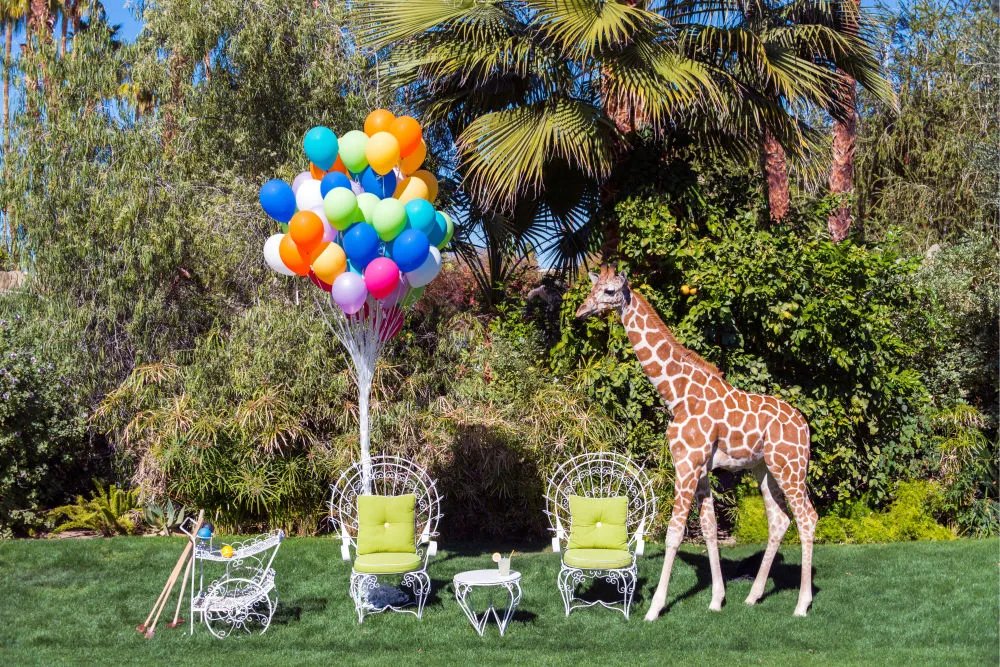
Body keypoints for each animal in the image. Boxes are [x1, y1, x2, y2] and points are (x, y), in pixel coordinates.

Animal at [576, 264, 816, 616]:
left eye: (609, 292)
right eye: (591, 290)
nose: (581, 312)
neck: (676, 395)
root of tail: (805, 426)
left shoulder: (687, 464)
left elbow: (674, 533)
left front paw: (654, 609)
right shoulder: (700, 468)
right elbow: (709, 529)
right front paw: (717, 600)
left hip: (791, 467)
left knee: (807, 518)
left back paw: (801, 604)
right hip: (765, 469)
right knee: (779, 521)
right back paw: (753, 596)